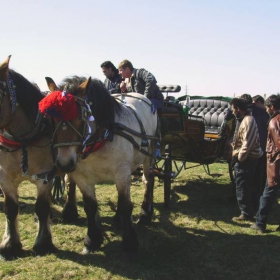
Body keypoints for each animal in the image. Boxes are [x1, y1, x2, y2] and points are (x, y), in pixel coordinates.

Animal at [0, 55, 57, 260]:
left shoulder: (45, 177)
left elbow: (41, 207)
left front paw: (43, 243)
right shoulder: (5, 179)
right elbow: (10, 209)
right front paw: (10, 244)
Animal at [40, 75, 161, 255]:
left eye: (82, 116)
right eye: (51, 119)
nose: (64, 163)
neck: (100, 140)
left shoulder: (122, 173)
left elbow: (125, 205)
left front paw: (130, 242)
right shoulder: (82, 177)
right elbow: (90, 206)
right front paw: (93, 239)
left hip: (148, 157)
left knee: (148, 181)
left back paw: (145, 213)